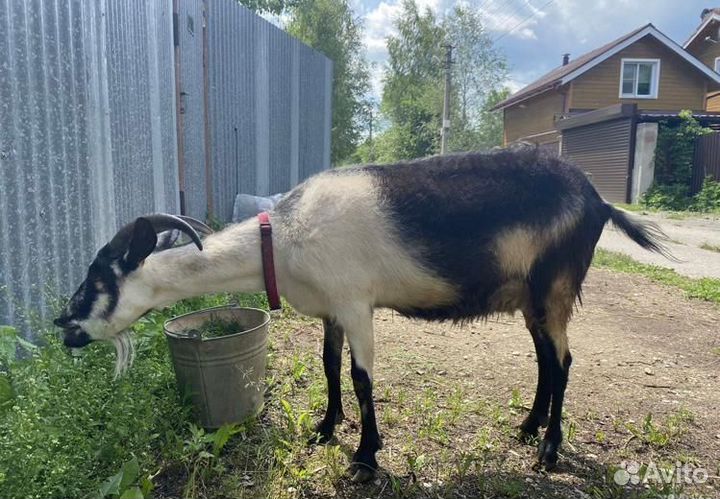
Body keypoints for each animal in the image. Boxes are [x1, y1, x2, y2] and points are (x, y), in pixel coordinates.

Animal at [54, 146, 667, 481]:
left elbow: (361, 376)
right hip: (530, 299)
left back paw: (548, 452)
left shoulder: (355, 303)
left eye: (94, 282)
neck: (285, 238)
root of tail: (598, 200)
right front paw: (325, 430)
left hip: (553, 287)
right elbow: (329, 368)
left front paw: (366, 459)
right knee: (544, 360)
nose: (65, 329)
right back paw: (526, 427)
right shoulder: (331, 309)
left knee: (562, 362)